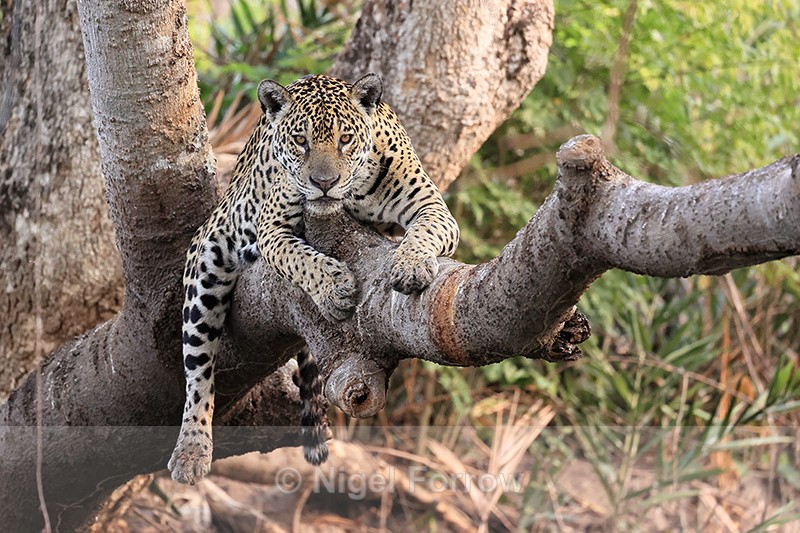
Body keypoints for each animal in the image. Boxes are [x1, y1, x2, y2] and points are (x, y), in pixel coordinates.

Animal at [168, 74, 460, 485]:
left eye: (345, 139)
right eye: (300, 140)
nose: (324, 182)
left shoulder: (432, 207)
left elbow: (423, 233)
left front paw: (411, 265)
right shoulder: (271, 229)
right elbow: (301, 258)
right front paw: (334, 289)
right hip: (206, 261)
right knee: (198, 374)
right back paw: (191, 451)